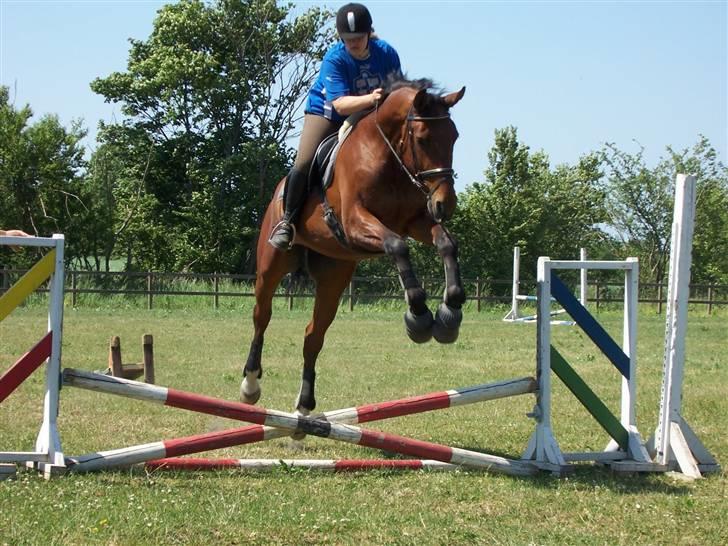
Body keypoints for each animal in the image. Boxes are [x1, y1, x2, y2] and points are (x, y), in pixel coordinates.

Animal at [240, 76, 466, 414]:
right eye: (423, 139)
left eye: (454, 137)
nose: (445, 204)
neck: (388, 158)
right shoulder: (354, 222)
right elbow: (397, 246)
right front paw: (419, 316)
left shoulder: (415, 222)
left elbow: (446, 244)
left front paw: (450, 311)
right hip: (271, 266)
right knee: (261, 317)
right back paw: (250, 384)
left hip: (333, 279)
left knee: (313, 335)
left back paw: (304, 404)